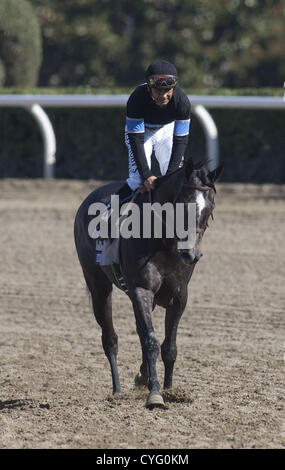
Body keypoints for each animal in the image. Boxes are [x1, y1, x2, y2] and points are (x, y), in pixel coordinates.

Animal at [73, 158, 222, 408]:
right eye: (183, 205)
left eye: (209, 209)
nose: (191, 254)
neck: (165, 244)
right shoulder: (141, 291)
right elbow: (151, 342)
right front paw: (155, 393)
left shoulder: (179, 296)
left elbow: (168, 346)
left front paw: (170, 390)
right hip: (98, 287)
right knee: (110, 338)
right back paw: (117, 390)